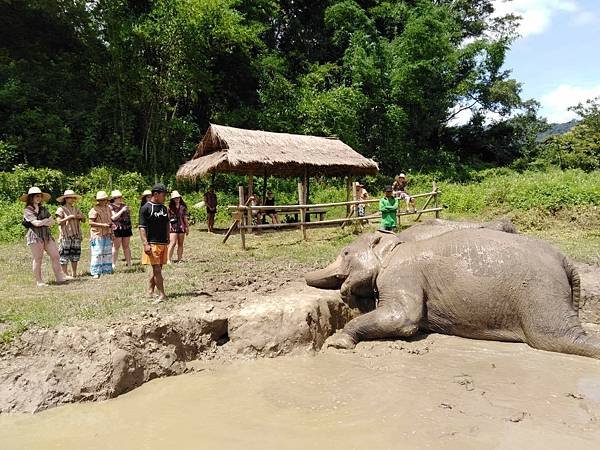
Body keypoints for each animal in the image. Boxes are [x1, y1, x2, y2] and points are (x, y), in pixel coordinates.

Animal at [304, 229, 600, 358]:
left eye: (345, 253)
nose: (344, 293)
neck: (397, 242)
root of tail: (566, 260)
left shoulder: (402, 274)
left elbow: (404, 318)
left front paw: (337, 342)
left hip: (541, 292)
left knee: (555, 337)